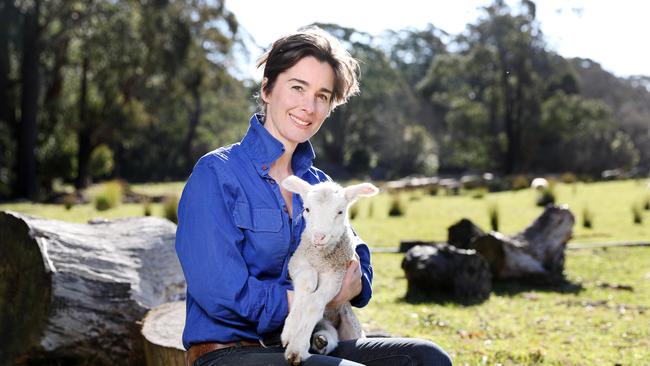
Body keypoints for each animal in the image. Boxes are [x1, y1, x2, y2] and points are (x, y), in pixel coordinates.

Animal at [280, 176, 380, 364]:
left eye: (340, 212)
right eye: (307, 209)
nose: (319, 237)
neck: (320, 260)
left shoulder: (337, 275)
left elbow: (313, 304)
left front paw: (297, 347)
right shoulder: (297, 261)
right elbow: (308, 283)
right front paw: (290, 329)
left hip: (351, 326)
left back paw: (320, 342)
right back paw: (320, 340)